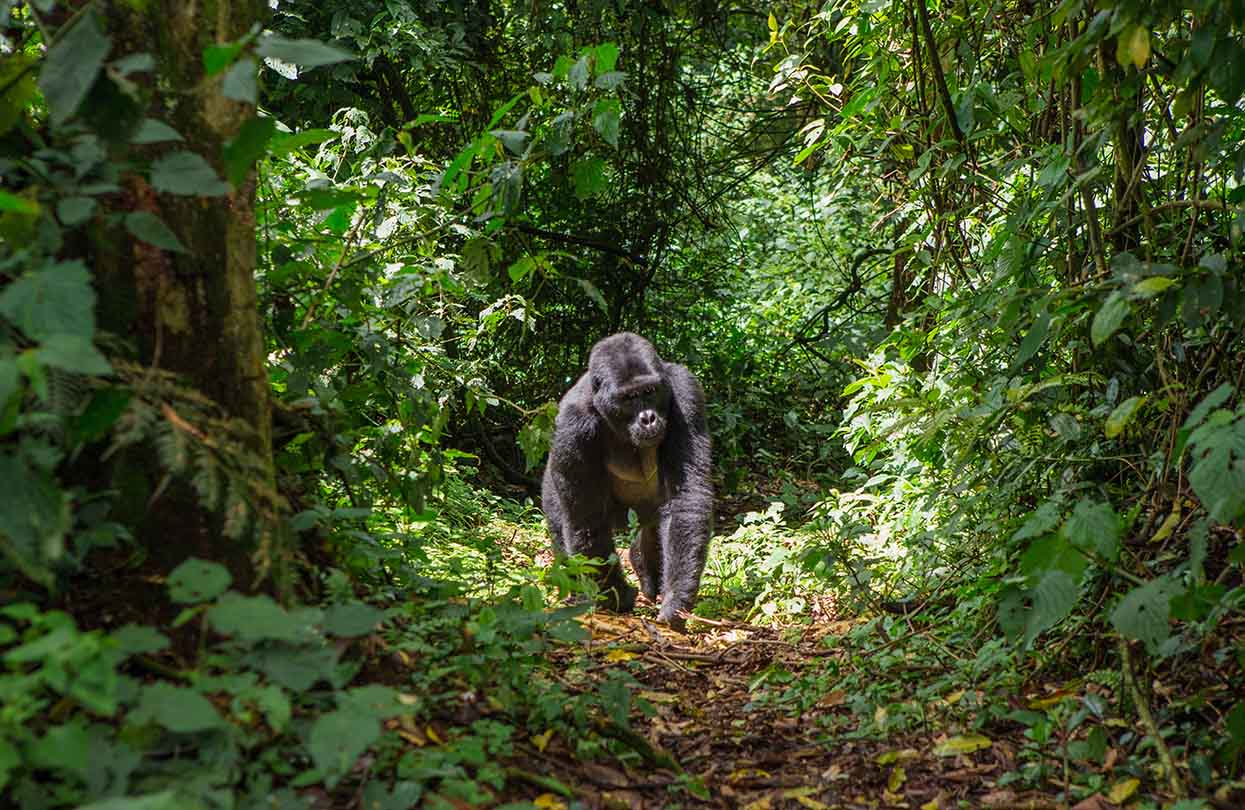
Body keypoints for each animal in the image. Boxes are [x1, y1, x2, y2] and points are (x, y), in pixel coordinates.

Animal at [542, 333, 717, 629]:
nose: (648, 418)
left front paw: (676, 599)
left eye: (650, 392)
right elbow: (587, 519)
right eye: (629, 398)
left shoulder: (686, 391)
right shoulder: (573, 424)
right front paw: (616, 597)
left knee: (654, 528)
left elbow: (685, 497)